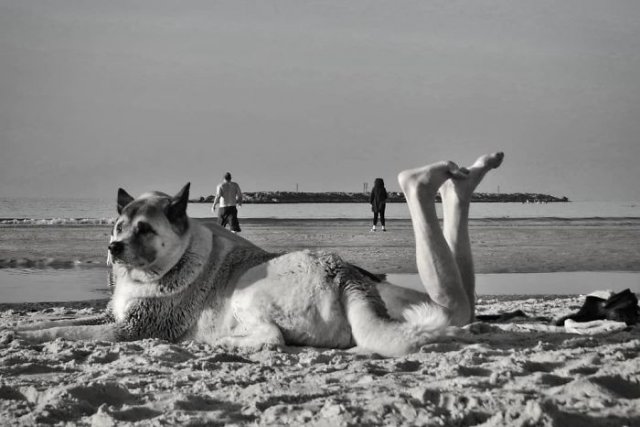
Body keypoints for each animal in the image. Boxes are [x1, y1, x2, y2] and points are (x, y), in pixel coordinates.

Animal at [6, 155, 504, 358]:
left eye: (144, 229)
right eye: (117, 226)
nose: (113, 249)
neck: (170, 263)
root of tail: (345, 274)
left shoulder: (132, 330)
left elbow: (63, 328)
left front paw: (32, 336)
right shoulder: (115, 317)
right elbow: (60, 320)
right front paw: (18, 329)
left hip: (249, 290)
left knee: (271, 339)